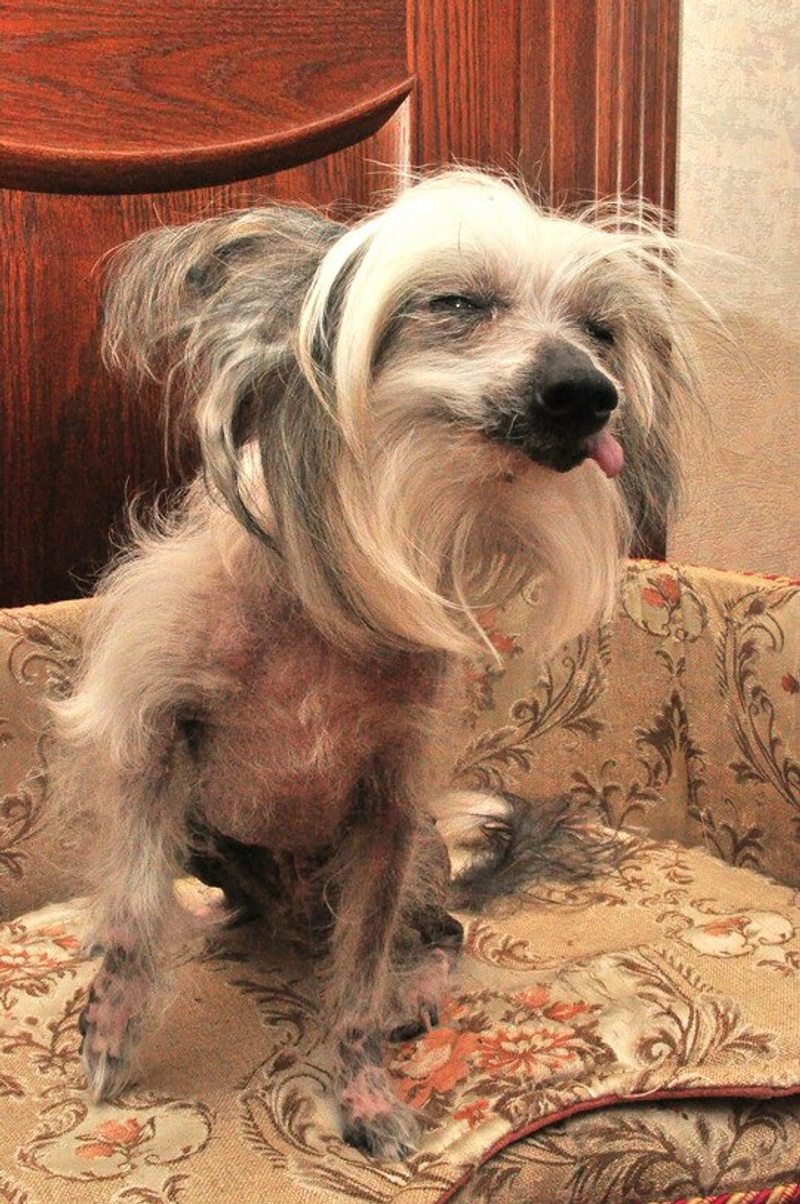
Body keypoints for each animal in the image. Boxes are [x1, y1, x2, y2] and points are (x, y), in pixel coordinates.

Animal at [51, 169, 708, 1159]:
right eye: (457, 303)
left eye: (600, 330)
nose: (590, 394)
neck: (327, 618)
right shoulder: (151, 741)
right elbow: (130, 913)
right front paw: (114, 1026)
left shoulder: (386, 817)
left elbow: (357, 988)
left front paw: (361, 1098)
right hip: (204, 834)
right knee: (218, 903)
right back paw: (213, 924)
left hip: (423, 865)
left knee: (443, 933)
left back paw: (415, 990)